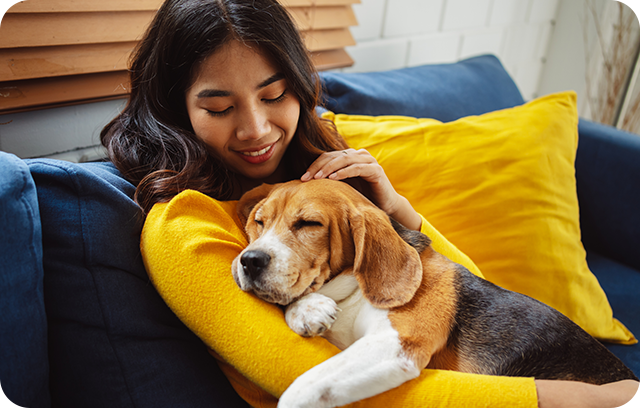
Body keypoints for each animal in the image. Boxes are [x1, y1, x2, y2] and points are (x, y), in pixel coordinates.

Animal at [232, 179, 636, 408]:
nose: (250, 261)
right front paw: (308, 309)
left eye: (308, 224)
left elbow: (303, 388)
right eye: (259, 221)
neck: (354, 290)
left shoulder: (396, 344)